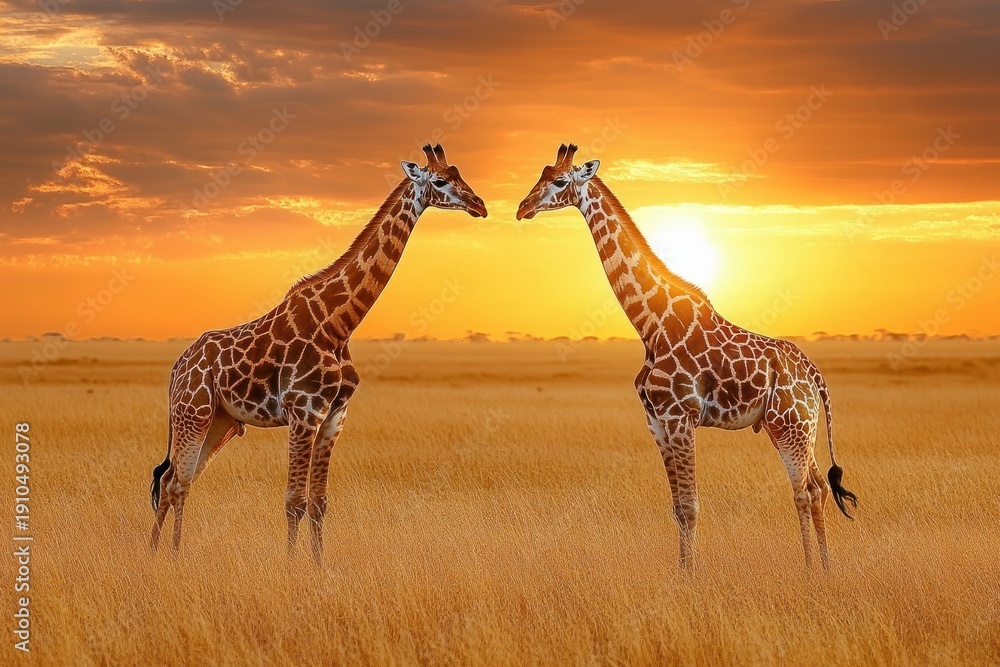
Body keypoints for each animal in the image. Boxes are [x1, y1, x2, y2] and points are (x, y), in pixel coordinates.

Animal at [150, 144, 487, 565]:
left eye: (461, 174)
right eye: (440, 181)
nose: (479, 205)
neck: (339, 324)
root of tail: (177, 367)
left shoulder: (334, 417)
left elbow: (319, 501)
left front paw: (318, 566)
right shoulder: (303, 412)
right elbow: (294, 500)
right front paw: (291, 569)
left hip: (220, 422)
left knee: (175, 479)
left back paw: (161, 554)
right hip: (192, 413)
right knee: (174, 480)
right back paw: (166, 557)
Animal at [516, 144, 857, 572]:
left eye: (560, 181)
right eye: (541, 174)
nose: (523, 207)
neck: (651, 324)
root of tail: (814, 375)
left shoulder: (681, 417)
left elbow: (692, 507)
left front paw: (692, 576)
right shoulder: (656, 421)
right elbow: (677, 508)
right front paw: (680, 574)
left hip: (791, 426)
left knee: (805, 490)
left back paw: (812, 571)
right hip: (791, 428)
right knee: (818, 486)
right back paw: (825, 569)